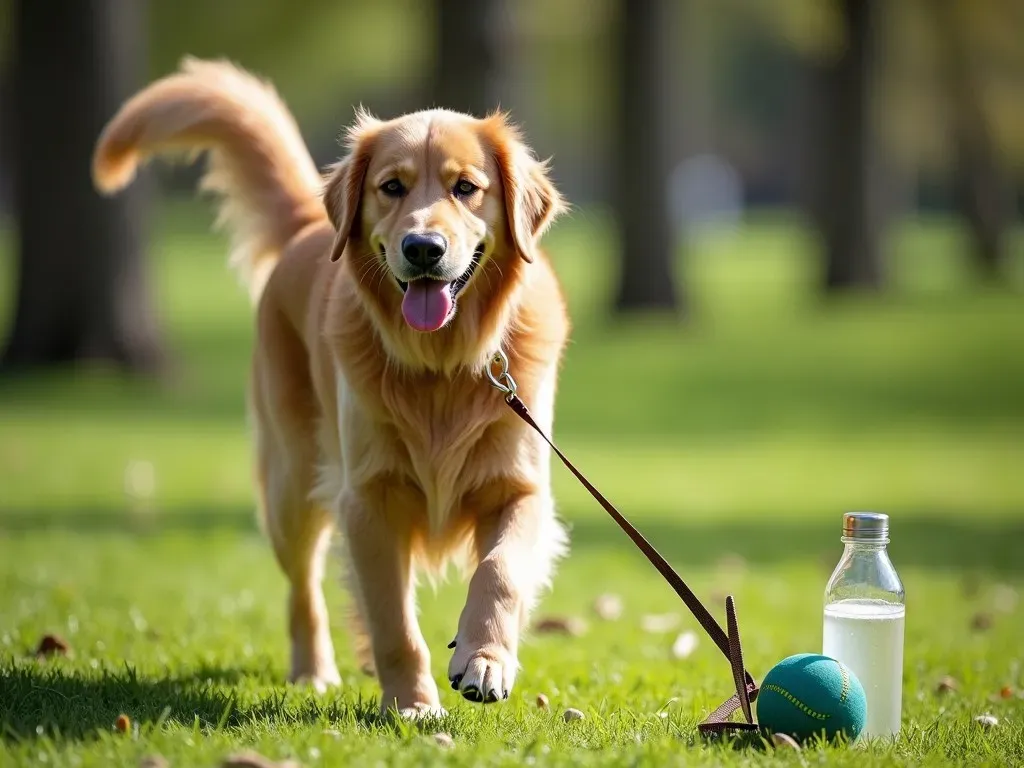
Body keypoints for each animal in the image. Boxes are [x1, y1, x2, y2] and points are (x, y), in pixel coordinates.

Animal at [92, 58, 573, 716]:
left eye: (466, 187)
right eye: (392, 187)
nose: (423, 248)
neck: (443, 366)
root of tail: (306, 229)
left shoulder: (521, 487)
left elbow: (498, 572)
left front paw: (485, 660)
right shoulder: (367, 499)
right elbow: (394, 619)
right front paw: (413, 704)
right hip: (292, 485)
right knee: (305, 591)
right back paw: (315, 670)